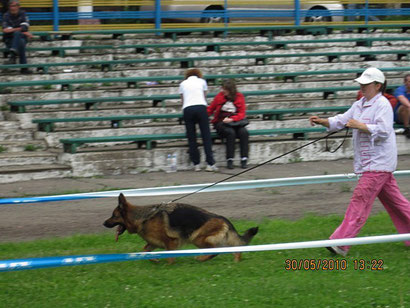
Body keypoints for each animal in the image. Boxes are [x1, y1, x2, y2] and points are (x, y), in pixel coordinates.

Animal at [104, 194, 260, 264]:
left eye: (113, 216)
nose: (104, 223)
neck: (143, 217)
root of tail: (223, 218)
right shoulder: (153, 242)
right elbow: (145, 250)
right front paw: (154, 259)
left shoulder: (170, 242)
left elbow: (170, 256)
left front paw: (168, 265)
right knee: (233, 248)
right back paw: (236, 260)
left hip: (198, 238)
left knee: (216, 251)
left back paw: (202, 258)